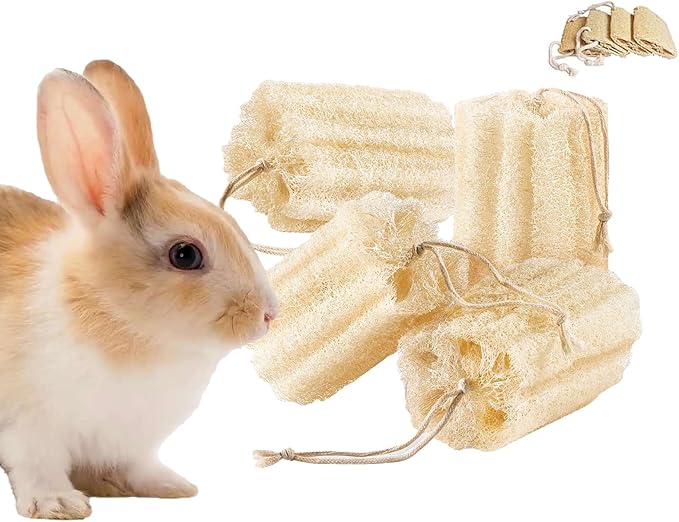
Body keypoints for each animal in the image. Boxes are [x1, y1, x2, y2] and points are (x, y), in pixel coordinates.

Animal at [0, 60, 278, 520]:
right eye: (185, 255)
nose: (268, 314)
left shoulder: (133, 444)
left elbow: (135, 467)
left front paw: (172, 487)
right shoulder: (29, 428)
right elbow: (38, 468)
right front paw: (59, 504)